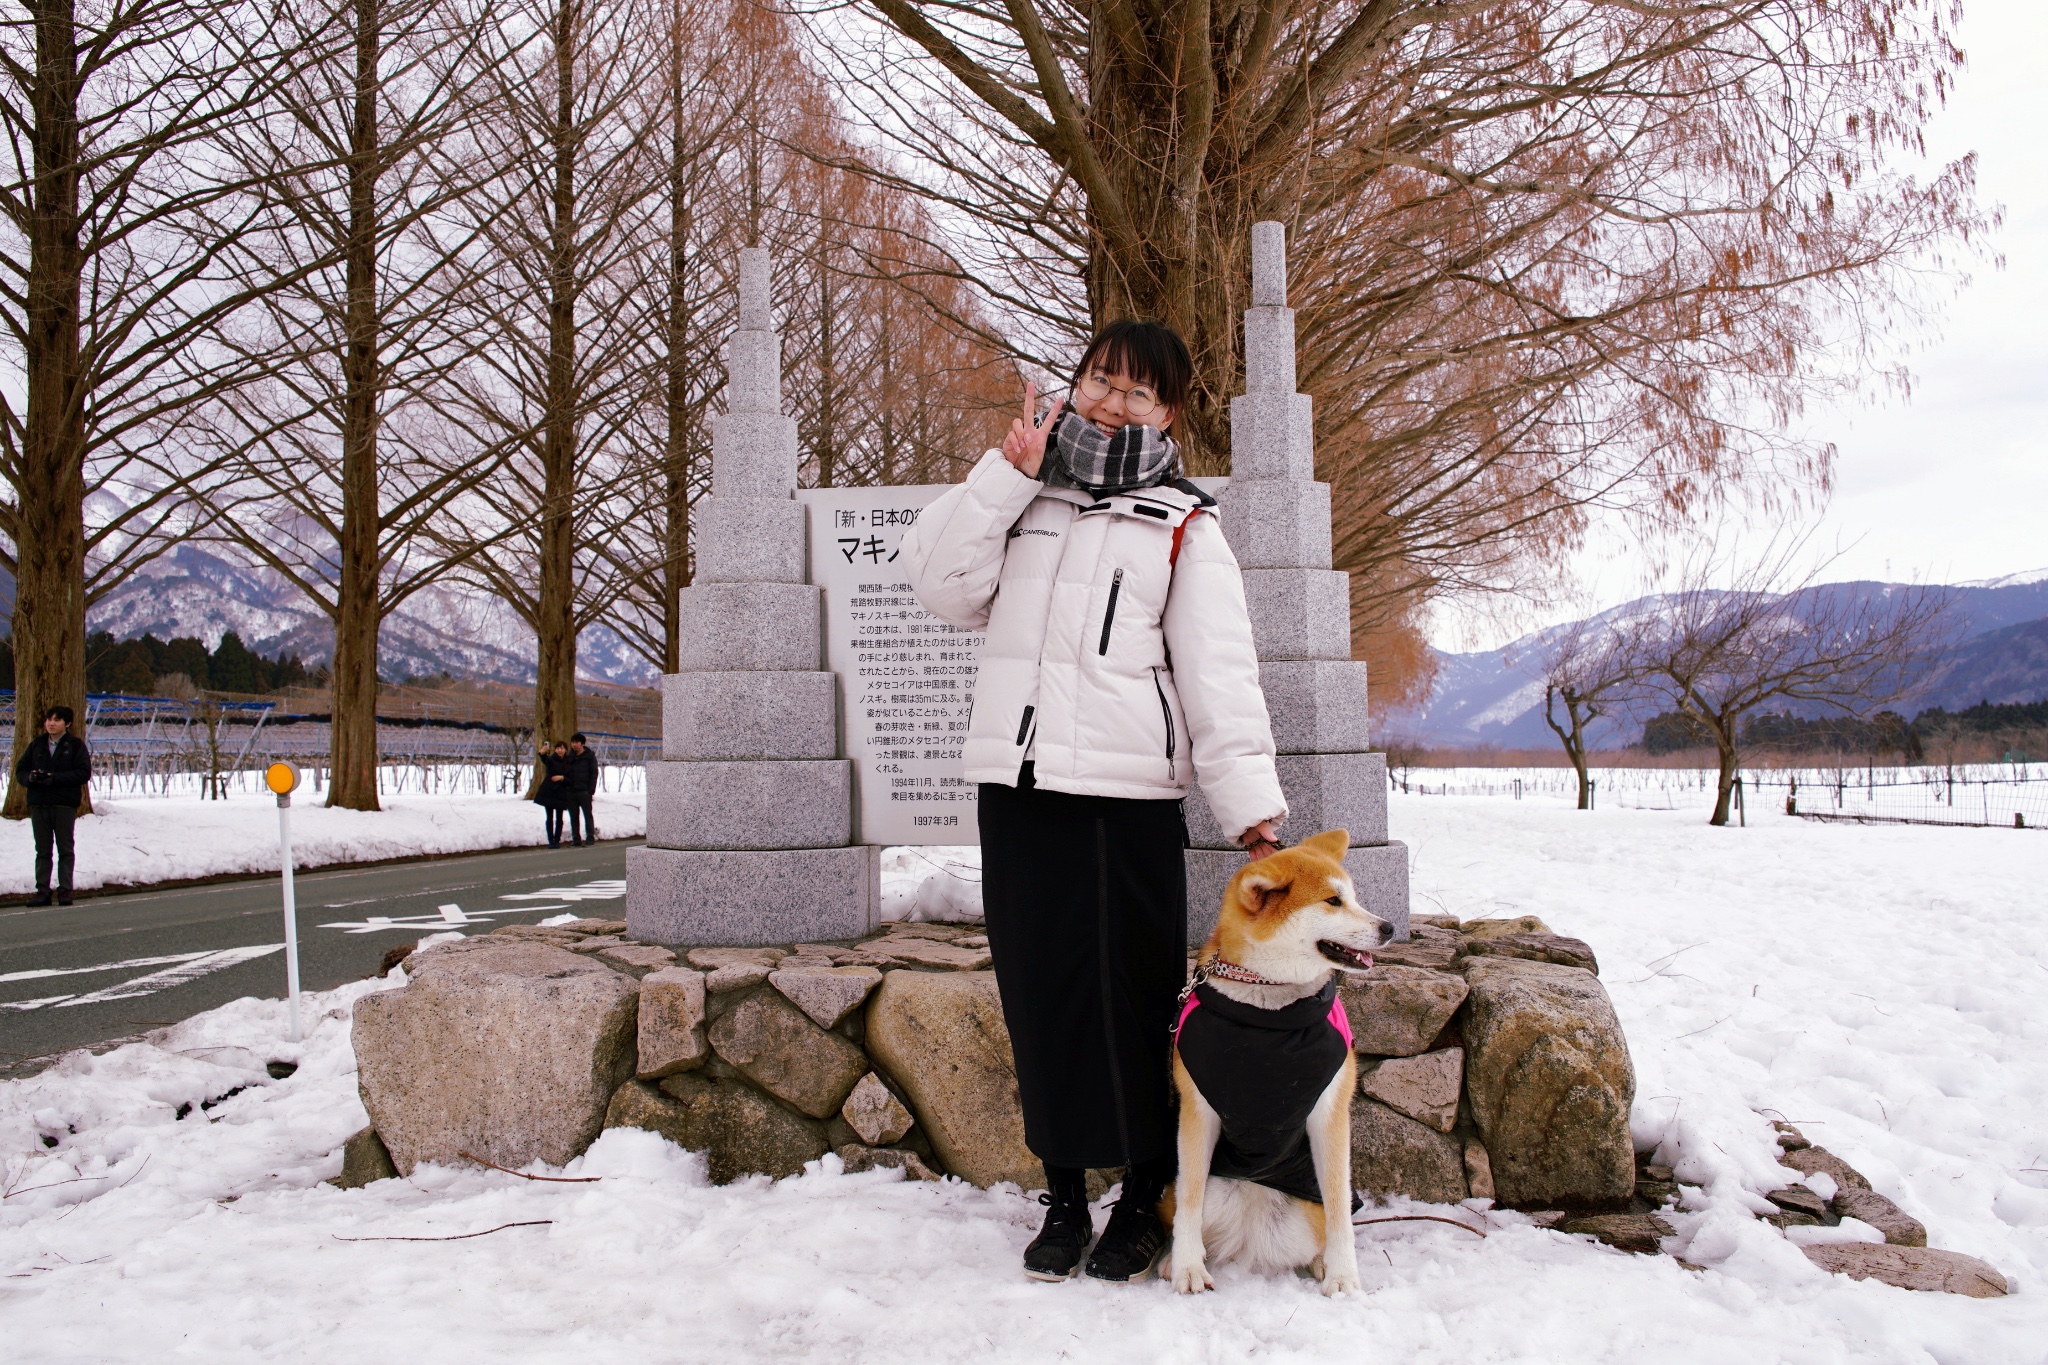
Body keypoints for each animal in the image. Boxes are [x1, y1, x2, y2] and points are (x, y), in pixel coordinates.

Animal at [1163, 826, 1400, 1301]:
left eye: (1353, 896)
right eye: (1332, 901)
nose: (1389, 927)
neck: (1269, 1012)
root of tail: (1252, 1230)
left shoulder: (1329, 1111)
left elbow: (1339, 1206)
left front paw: (1344, 1275)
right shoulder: (1199, 1110)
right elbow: (1190, 1202)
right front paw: (1187, 1268)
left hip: (1304, 1210)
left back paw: (1322, 1264)